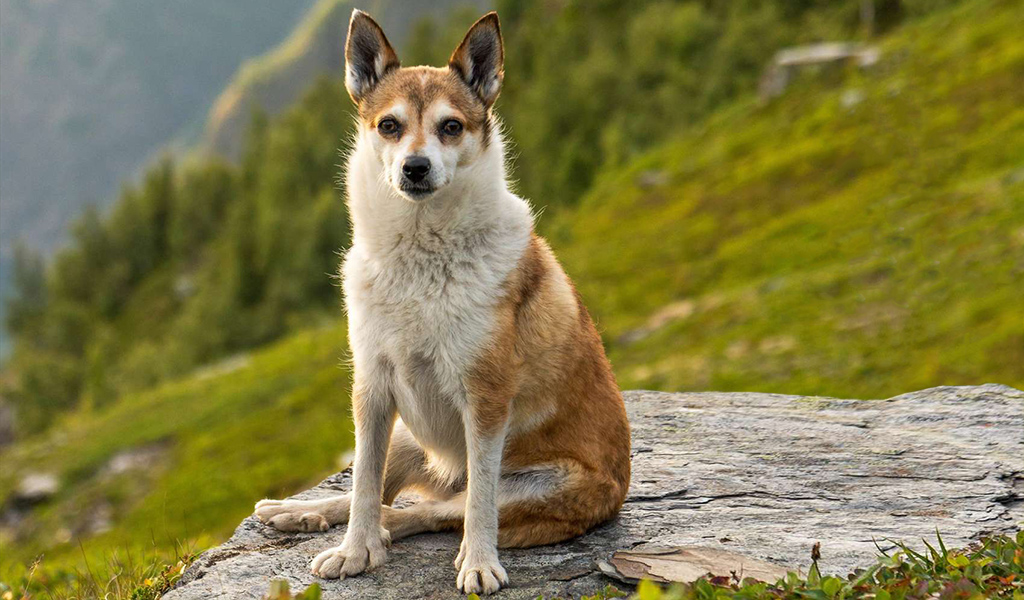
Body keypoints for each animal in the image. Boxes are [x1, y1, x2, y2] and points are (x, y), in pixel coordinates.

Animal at [251, 10, 626, 593]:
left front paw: (479, 563)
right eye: (389, 126)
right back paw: (299, 512)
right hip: (406, 433)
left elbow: (478, 504)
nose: (416, 168)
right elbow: (363, 484)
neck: (420, 255)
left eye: (452, 127)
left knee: (429, 510)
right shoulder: (372, 387)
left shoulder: (487, 398)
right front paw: (353, 552)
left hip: (541, 485)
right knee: (378, 492)